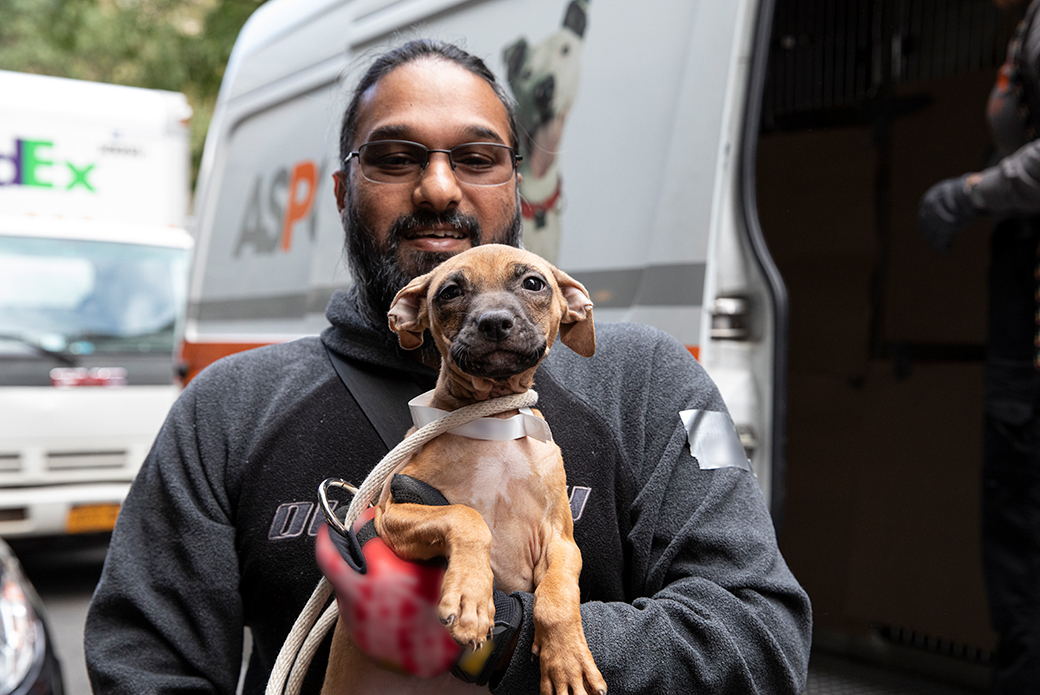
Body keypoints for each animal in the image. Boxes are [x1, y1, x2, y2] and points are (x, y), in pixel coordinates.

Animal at [320, 241, 607, 690]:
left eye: (534, 283)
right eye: (450, 292)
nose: (494, 323)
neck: (495, 423)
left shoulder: (560, 540)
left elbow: (557, 597)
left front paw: (567, 659)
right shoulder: (391, 516)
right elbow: (466, 517)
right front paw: (472, 597)